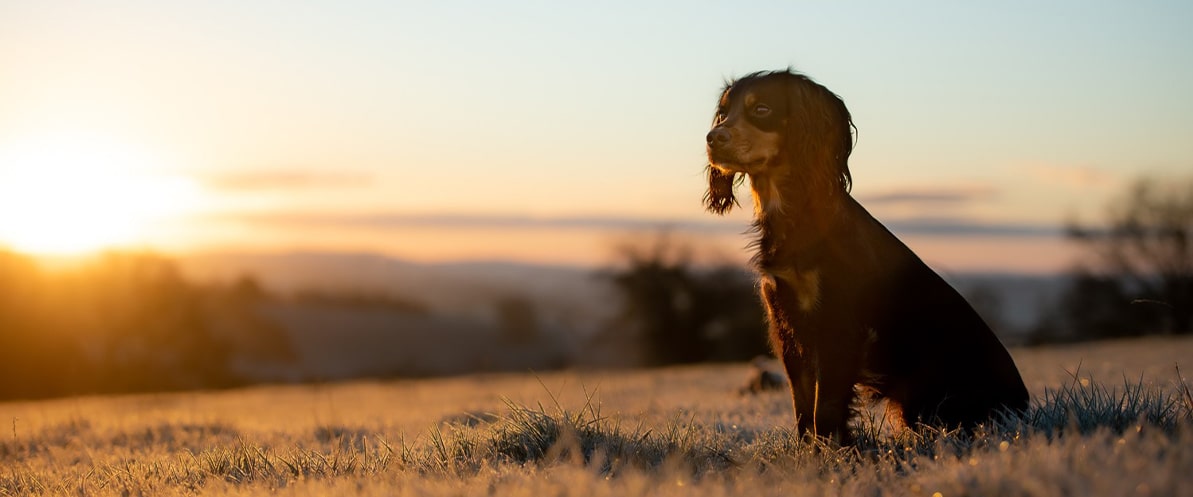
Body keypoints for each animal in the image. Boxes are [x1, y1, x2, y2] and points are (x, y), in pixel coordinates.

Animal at [701, 67, 1030, 438]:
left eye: (761, 110)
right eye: (723, 113)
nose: (713, 138)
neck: (796, 216)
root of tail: (1022, 406)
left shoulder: (837, 325)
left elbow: (825, 406)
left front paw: (832, 448)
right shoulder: (787, 324)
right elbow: (803, 405)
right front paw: (808, 449)